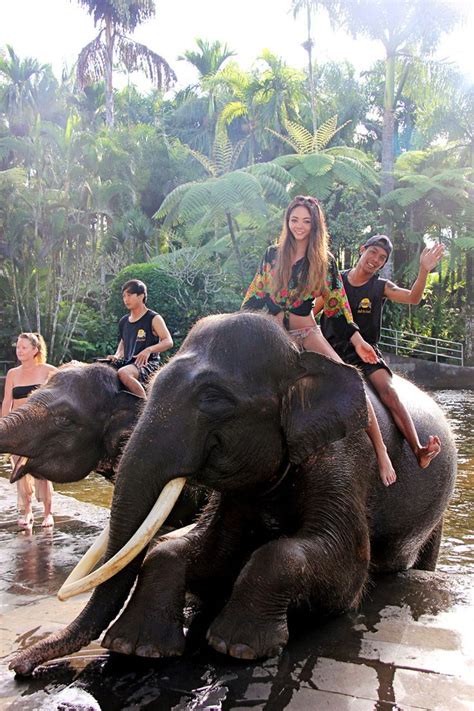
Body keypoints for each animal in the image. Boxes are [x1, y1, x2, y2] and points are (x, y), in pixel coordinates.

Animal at [10, 314, 456, 676]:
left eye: (213, 399)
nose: (19, 667)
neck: (300, 360)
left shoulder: (345, 460)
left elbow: (345, 572)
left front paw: (235, 646)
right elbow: (199, 549)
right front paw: (135, 647)